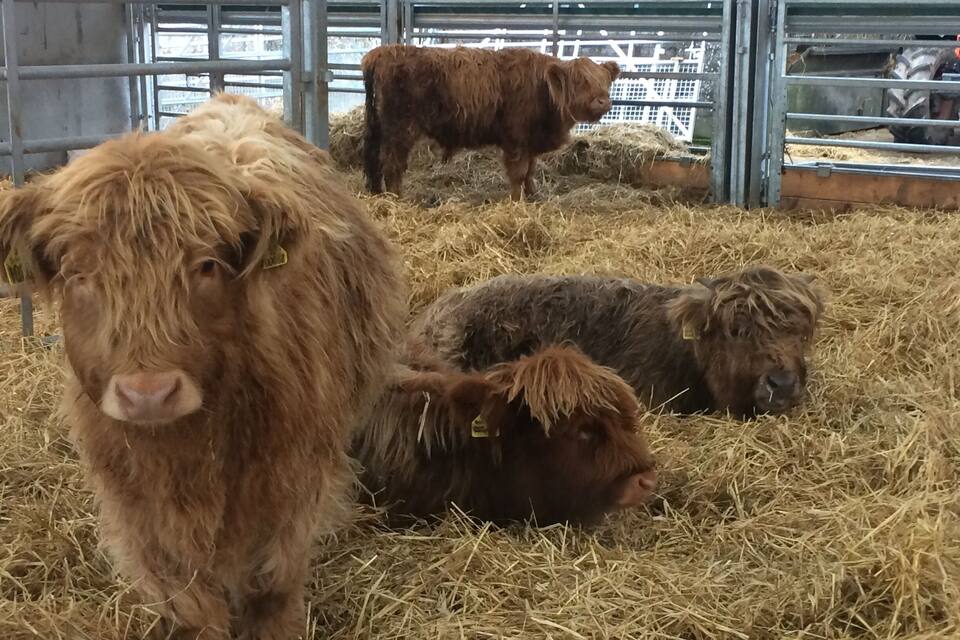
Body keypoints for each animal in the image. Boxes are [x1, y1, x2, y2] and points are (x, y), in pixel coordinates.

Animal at [0, 94, 406, 640]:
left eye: (207, 266)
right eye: (78, 274)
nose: (148, 393)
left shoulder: (295, 483)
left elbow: (271, 590)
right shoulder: (138, 512)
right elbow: (190, 605)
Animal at [361, 44, 620, 201]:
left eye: (605, 81)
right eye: (580, 81)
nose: (602, 101)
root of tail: (385, 51)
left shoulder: (530, 142)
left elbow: (530, 172)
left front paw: (533, 196)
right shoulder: (516, 140)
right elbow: (518, 173)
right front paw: (516, 201)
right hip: (400, 130)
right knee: (392, 165)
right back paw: (397, 199)